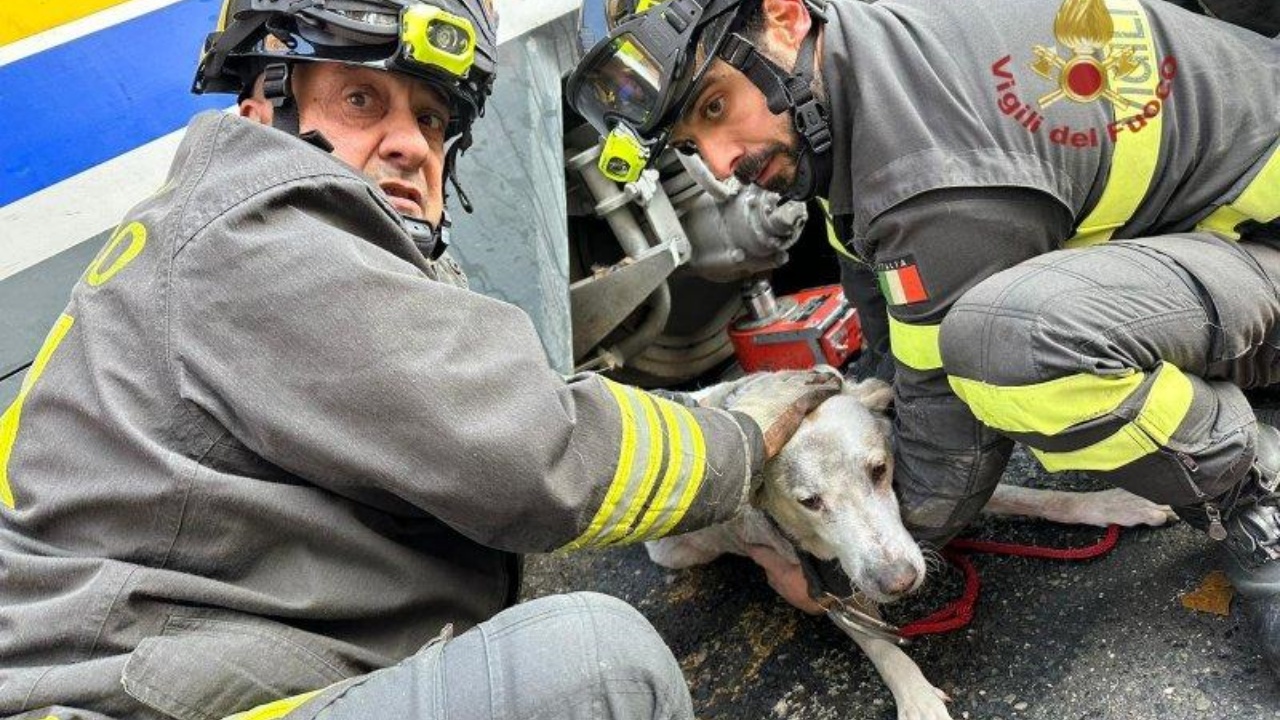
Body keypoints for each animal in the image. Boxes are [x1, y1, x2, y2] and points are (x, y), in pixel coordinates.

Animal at [645, 376, 1172, 717]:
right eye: (810, 502)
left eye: (879, 470)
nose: (898, 582)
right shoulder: (830, 587)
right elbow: (883, 646)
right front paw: (916, 698)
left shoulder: (935, 489)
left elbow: (1039, 498)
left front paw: (1115, 502)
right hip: (680, 549)